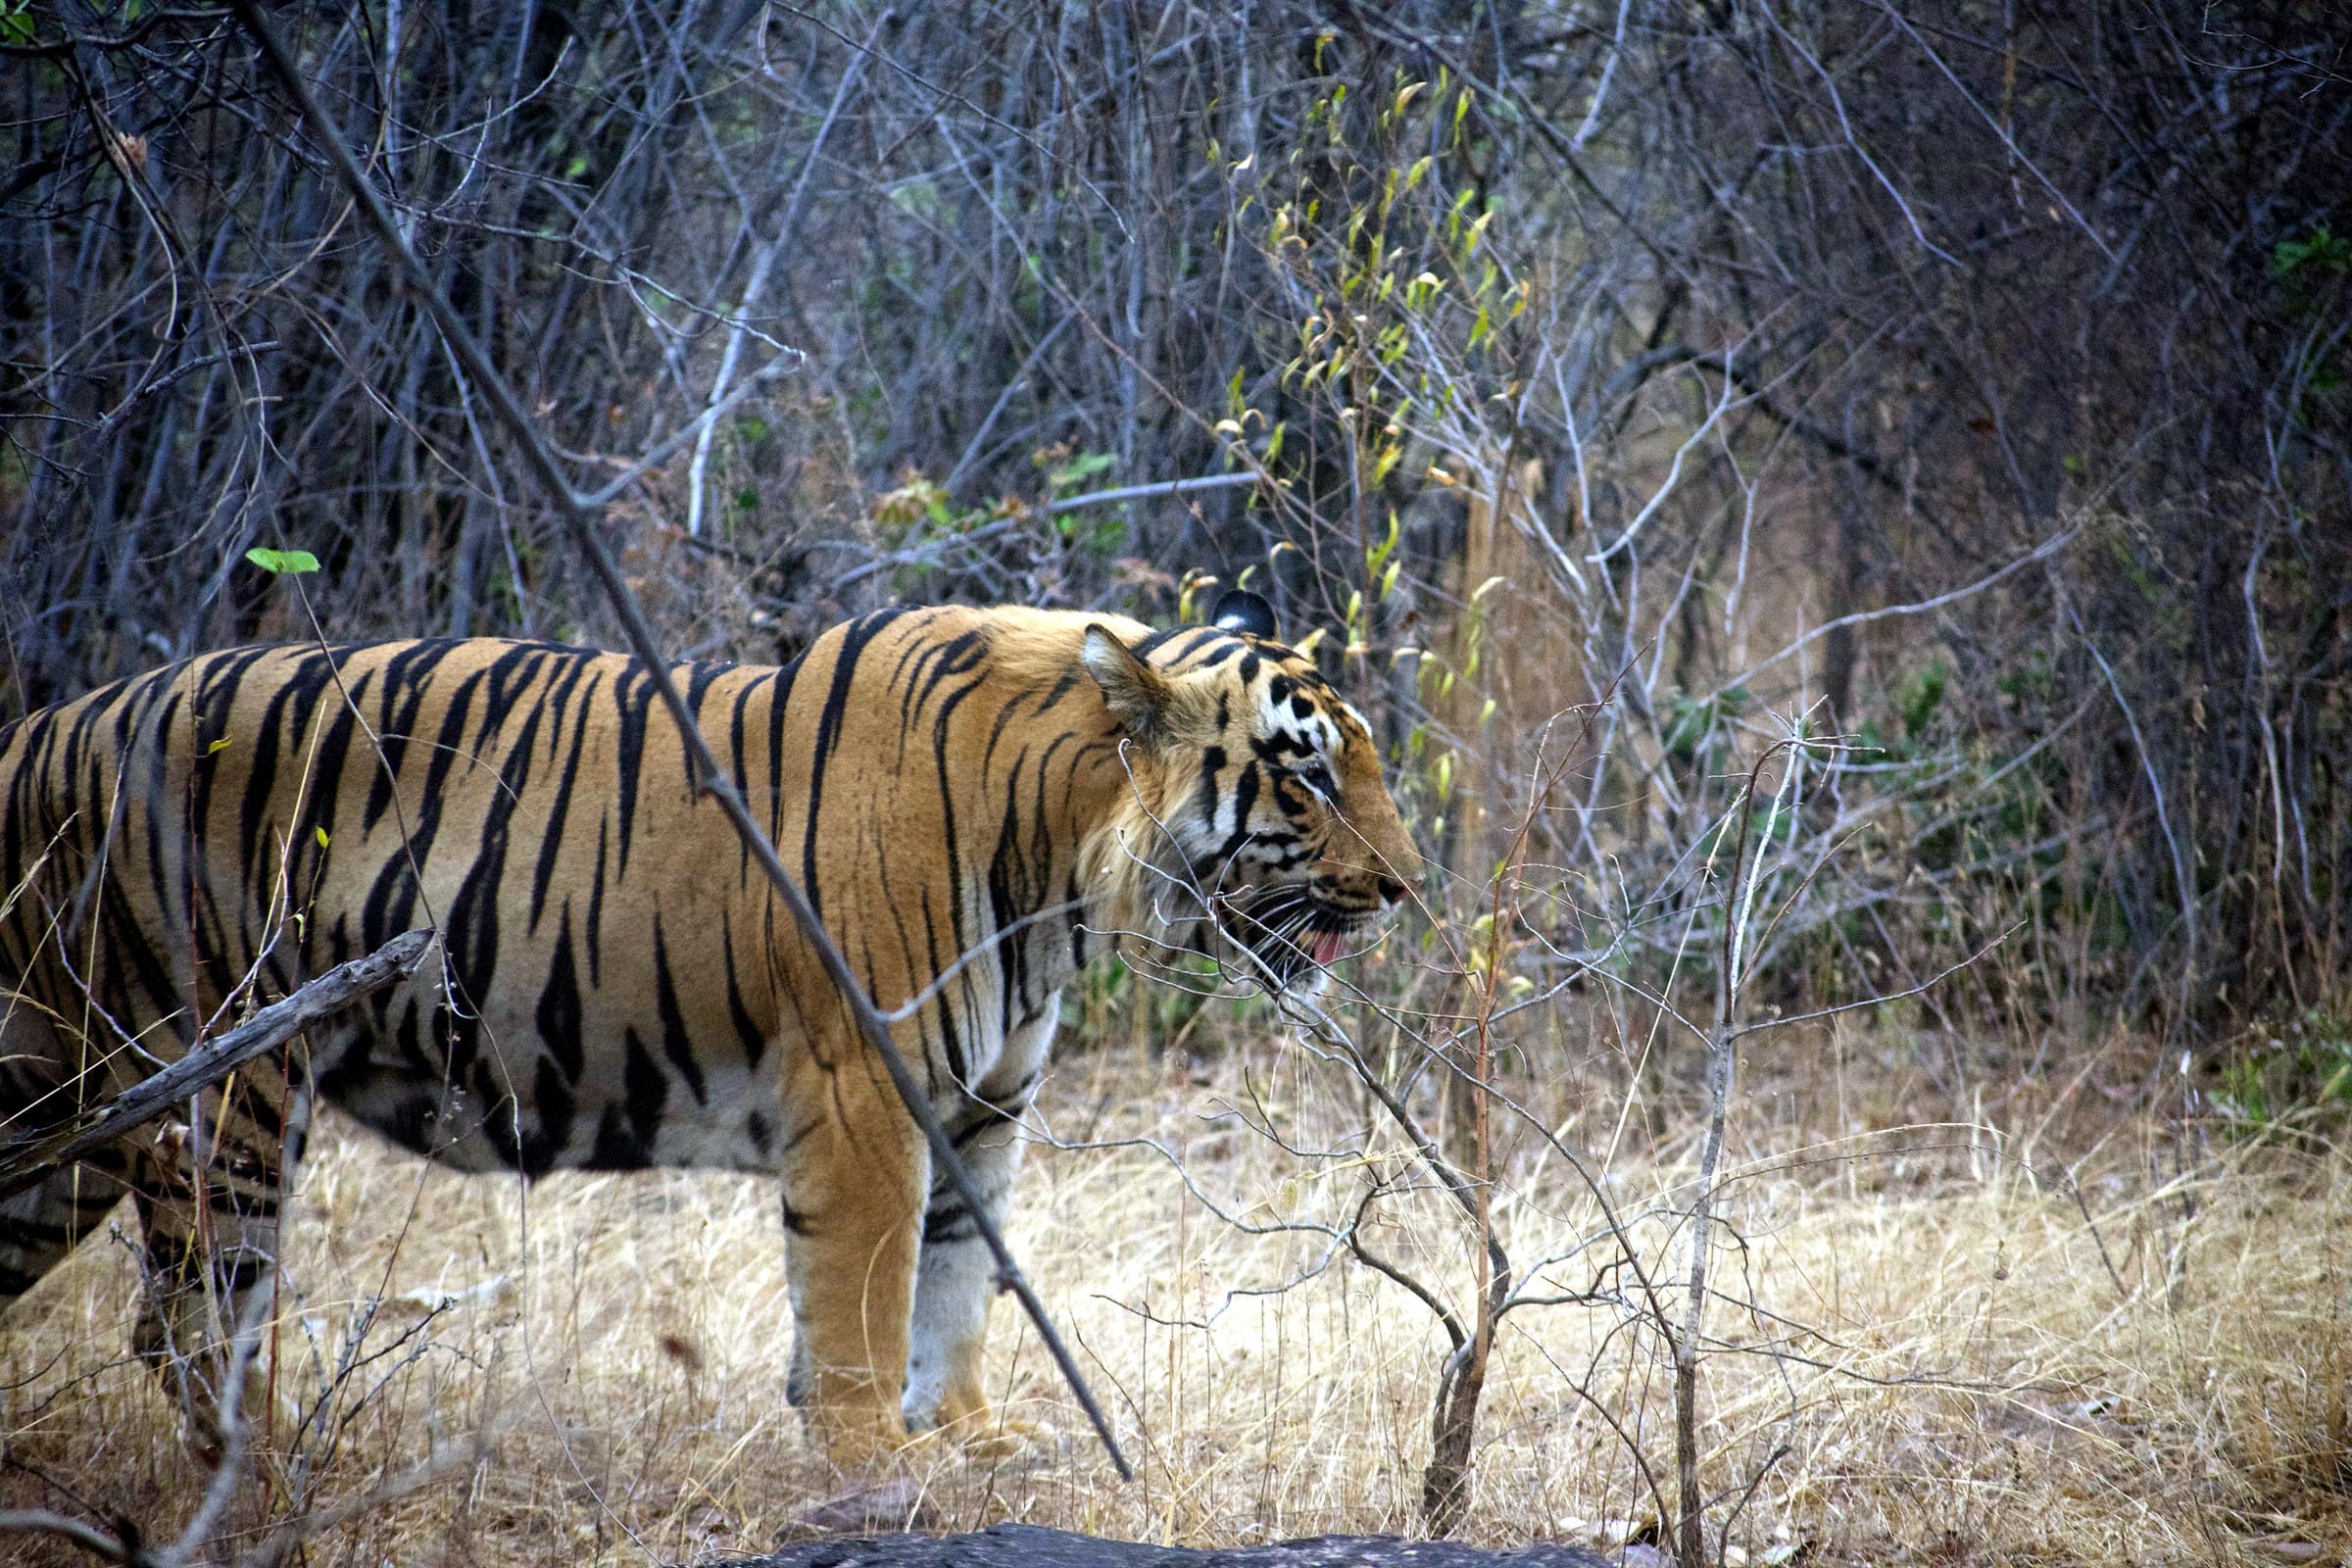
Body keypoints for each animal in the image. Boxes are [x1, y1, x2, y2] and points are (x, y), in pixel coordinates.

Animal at [0, 589, 1415, 1465]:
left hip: (63, 1110)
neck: (1060, 868)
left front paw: (970, 1439)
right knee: (195, 1329)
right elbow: (865, 1293)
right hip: (211, 1089)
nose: (1408, 885)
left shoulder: (986, 1108)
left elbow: (960, 1278)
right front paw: (875, 1461)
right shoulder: (867, 1087)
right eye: (1307, 775)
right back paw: (284, 1485)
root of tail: (43, 730)